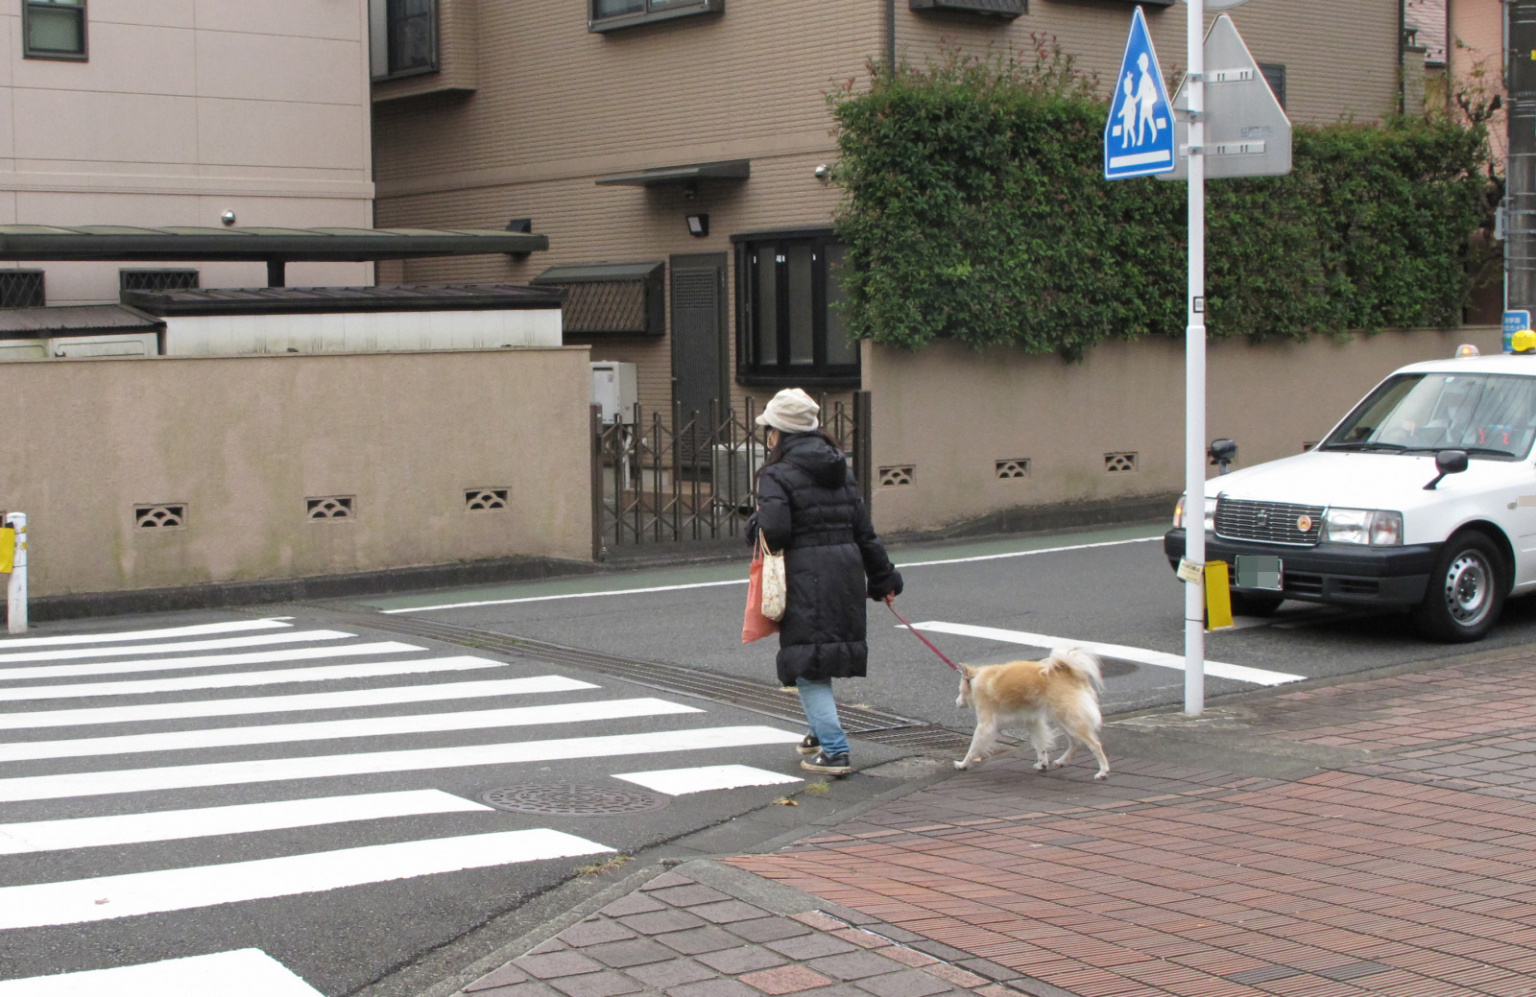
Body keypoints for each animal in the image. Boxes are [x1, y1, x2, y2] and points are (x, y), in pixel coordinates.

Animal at [952, 648, 1112, 780]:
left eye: (960, 691)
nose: (956, 702)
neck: (975, 680)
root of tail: (1069, 672)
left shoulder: (985, 725)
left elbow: (974, 747)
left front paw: (963, 763)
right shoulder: (1033, 722)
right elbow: (1040, 744)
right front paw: (1042, 764)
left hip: (1068, 719)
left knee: (1095, 744)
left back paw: (1103, 771)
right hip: (1062, 719)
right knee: (1075, 742)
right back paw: (1062, 761)